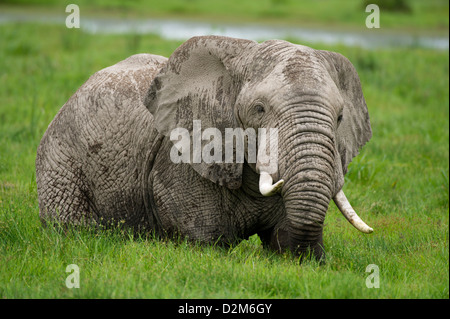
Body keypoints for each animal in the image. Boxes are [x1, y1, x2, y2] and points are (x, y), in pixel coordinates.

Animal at [36, 35, 372, 262]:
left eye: (339, 117)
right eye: (259, 109)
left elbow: (285, 239)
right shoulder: (178, 162)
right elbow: (206, 242)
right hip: (60, 161)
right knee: (71, 227)